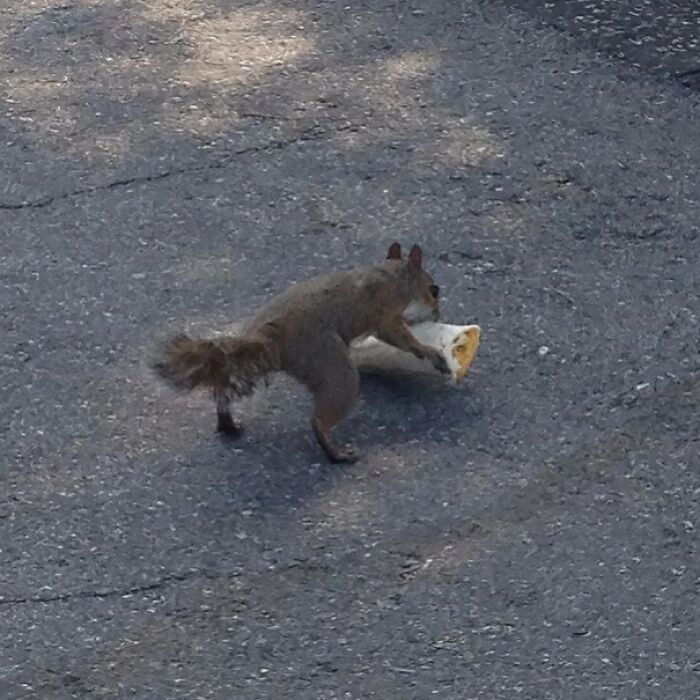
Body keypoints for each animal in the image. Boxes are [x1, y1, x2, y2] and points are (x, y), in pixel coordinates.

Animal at [152, 242, 448, 463]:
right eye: (434, 290)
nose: (437, 314)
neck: (392, 276)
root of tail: (269, 341)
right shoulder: (384, 314)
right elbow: (399, 337)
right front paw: (430, 352)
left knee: (224, 395)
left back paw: (228, 425)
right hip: (331, 365)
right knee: (320, 418)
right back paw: (337, 454)